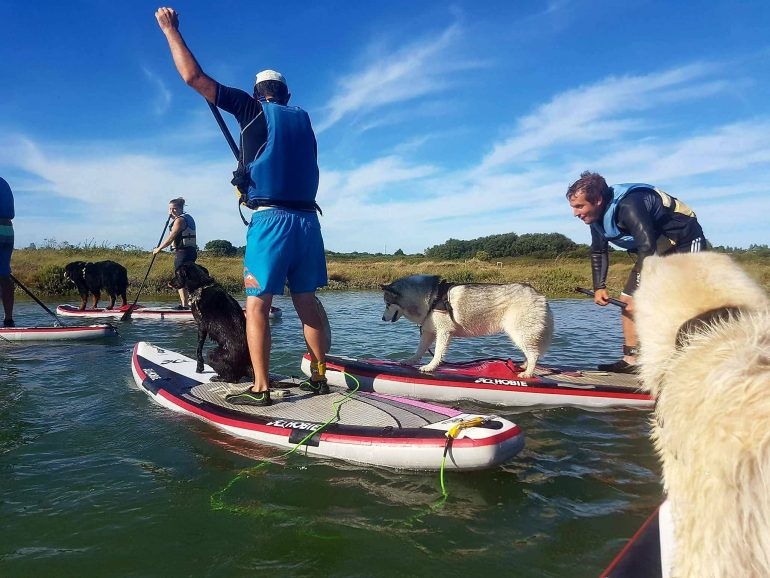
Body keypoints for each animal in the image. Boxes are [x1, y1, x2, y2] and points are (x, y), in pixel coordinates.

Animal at [380, 274, 552, 376]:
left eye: (387, 304)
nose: (382, 318)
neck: (431, 298)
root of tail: (540, 296)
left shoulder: (444, 332)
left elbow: (437, 352)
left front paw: (431, 366)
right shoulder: (429, 332)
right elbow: (419, 350)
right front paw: (411, 361)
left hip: (519, 333)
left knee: (534, 354)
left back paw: (528, 373)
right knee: (531, 353)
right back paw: (524, 365)